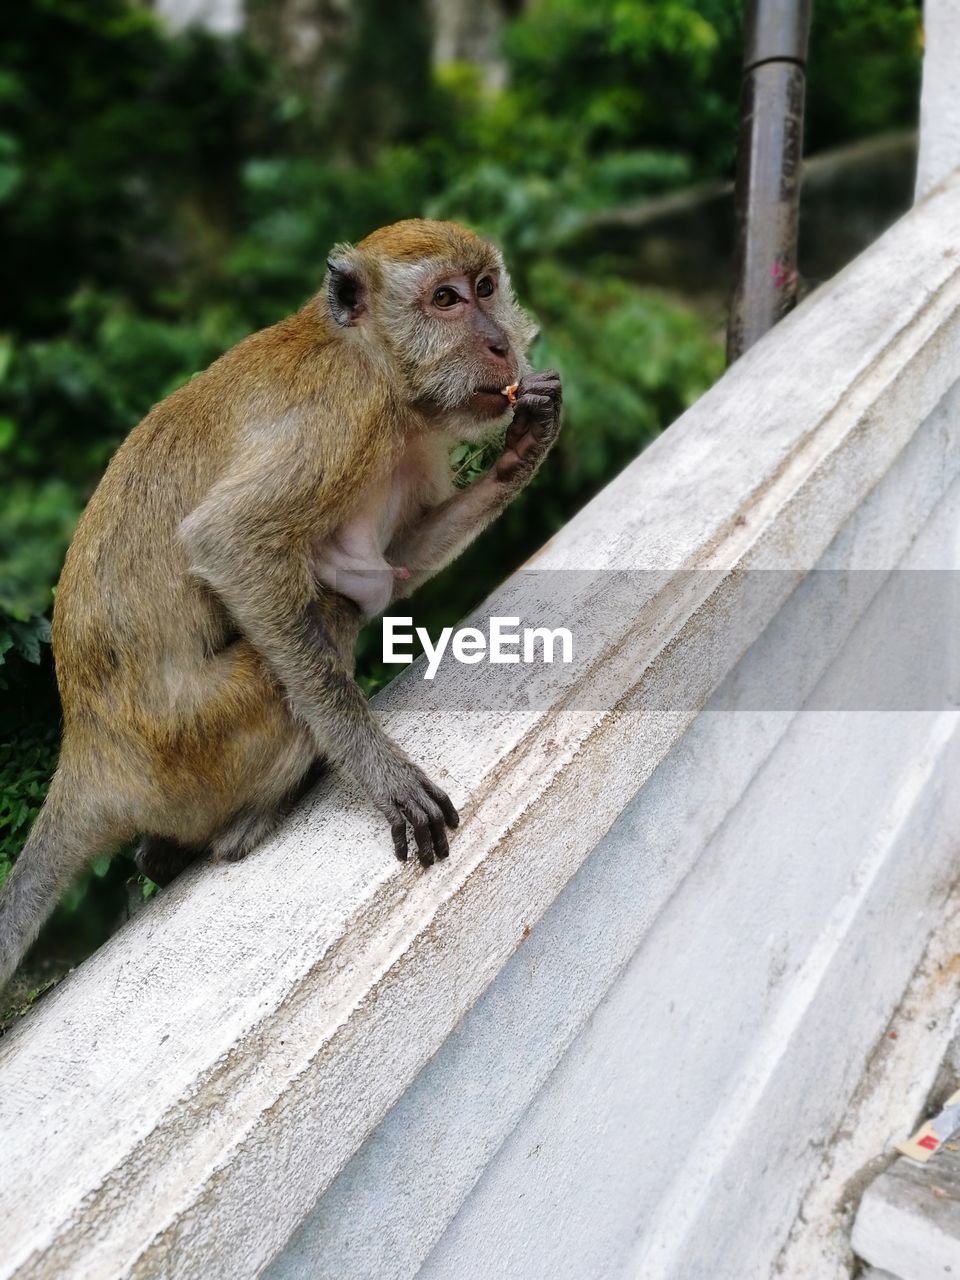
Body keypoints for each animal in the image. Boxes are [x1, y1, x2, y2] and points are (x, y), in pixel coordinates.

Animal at [0, 217, 563, 988]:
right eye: (444, 299)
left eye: (485, 288)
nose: (501, 342)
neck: (376, 363)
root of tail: (89, 752)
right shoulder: (340, 417)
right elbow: (228, 542)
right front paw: (380, 773)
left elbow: (391, 567)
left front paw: (523, 448)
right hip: (194, 736)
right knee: (323, 615)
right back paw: (242, 827)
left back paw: (161, 854)